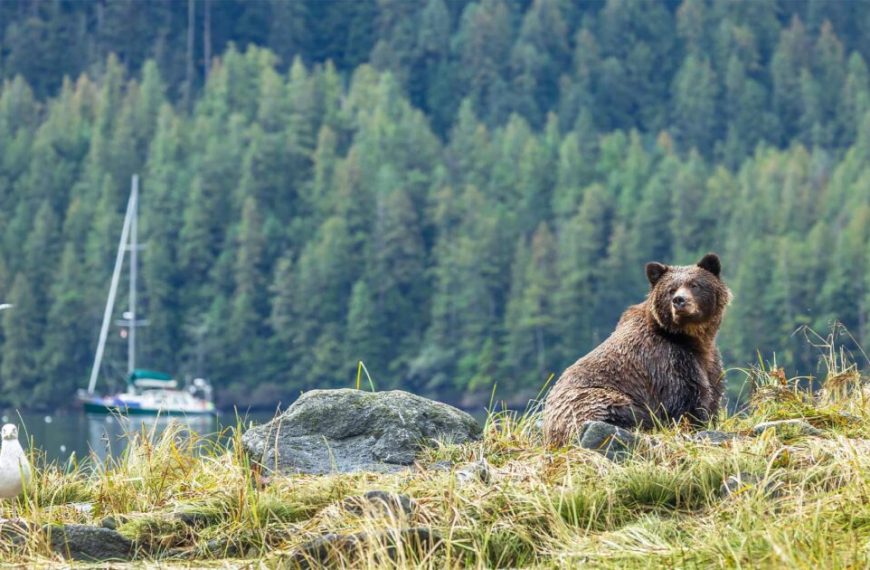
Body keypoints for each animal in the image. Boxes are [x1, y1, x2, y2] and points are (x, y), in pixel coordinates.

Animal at [543, 253, 732, 446]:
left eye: (695, 285)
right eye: (671, 289)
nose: (679, 300)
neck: (690, 338)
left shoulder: (709, 361)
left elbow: (713, 392)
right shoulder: (667, 360)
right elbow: (686, 399)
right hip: (592, 400)